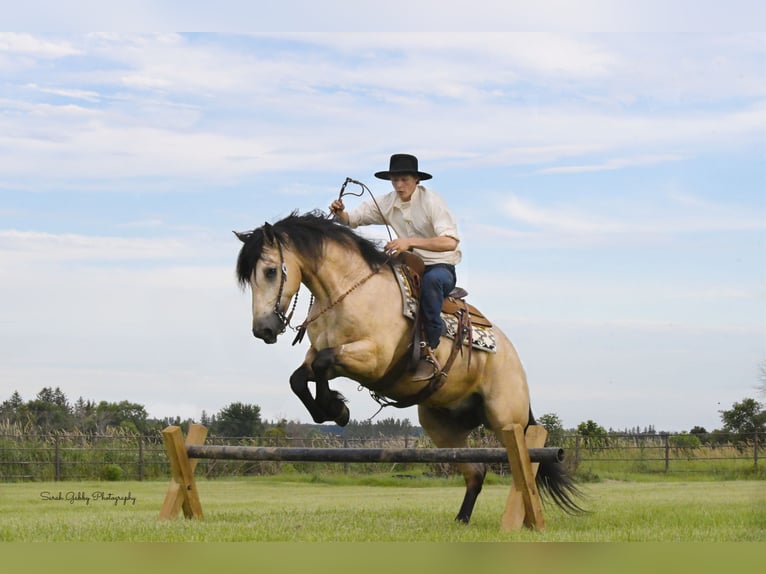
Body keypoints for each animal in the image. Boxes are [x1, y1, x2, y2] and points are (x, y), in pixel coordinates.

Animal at [234, 212, 584, 528]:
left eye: (269, 271)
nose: (263, 329)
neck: (349, 292)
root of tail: (513, 359)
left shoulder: (373, 359)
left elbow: (322, 365)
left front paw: (336, 409)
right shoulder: (326, 358)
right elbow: (299, 378)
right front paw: (332, 409)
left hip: (506, 419)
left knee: (523, 465)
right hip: (442, 427)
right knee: (477, 472)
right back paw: (461, 521)